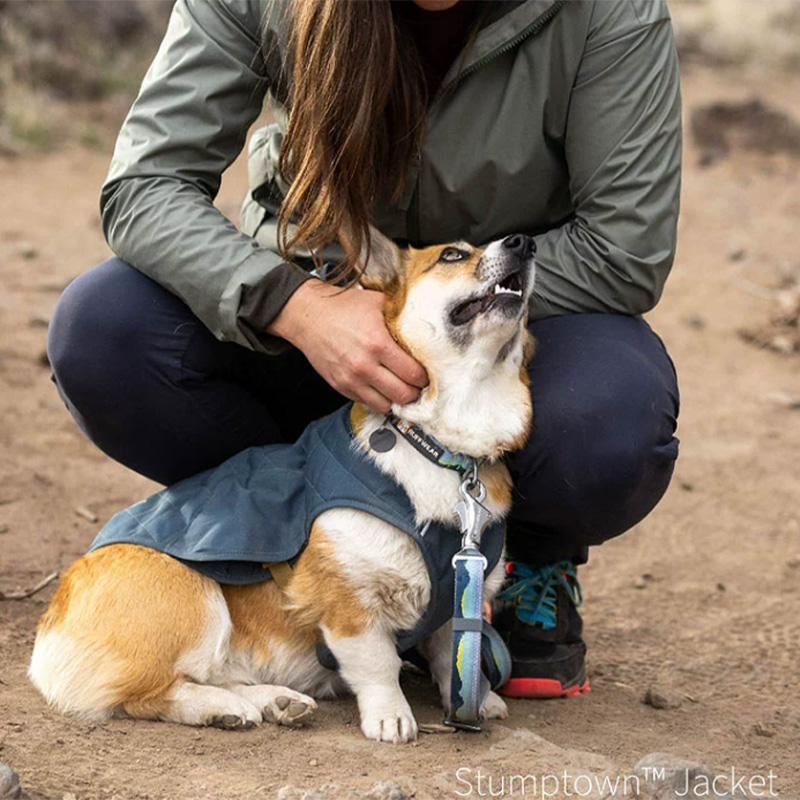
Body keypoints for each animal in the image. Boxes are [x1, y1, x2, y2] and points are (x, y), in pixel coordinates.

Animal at [28, 230, 536, 744]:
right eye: (452, 255)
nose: (524, 243)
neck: (440, 447)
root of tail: (53, 623)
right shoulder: (350, 605)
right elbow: (379, 665)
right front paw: (391, 716)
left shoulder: (457, 595)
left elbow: (449, 651)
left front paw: (475, 698)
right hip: (197, 599)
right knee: (154, 693)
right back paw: (223, 709)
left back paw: (272, 701)